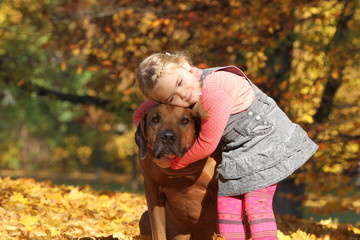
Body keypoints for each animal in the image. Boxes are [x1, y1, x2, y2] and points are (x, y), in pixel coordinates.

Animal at [135, 103, 219, 240]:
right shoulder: (152, 188)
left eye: (185, 121)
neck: (181, 169)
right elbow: (158, 229)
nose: (168, 137)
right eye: (155, 119)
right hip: (145, 218)